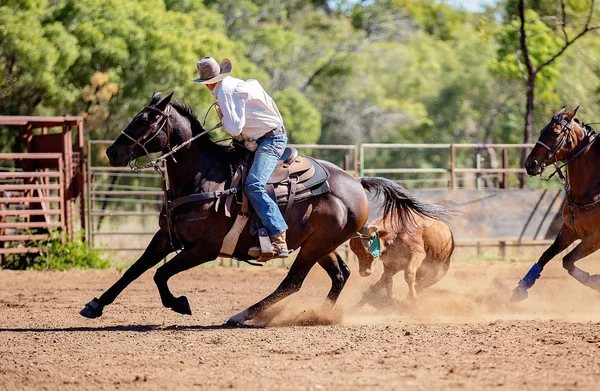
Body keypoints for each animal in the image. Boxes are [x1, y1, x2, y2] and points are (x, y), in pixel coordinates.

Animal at [79, 93, 446, 326]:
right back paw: (316, 316)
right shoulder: (165, 237)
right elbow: (135, 270)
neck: (203, 177)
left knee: (292, 282)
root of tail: (356, 182)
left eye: (146, 119)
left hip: (315, 246)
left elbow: (160, 274)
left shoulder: (204, 248)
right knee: (339, 275)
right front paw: (94, 305)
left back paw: (245, 315)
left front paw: (179, 303)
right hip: (321, 244)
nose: (112, 152)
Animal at [510, 105, 600, 302]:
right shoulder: (569, 230)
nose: (530, 164)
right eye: (542, 130)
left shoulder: (595, 237)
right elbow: (546, 255)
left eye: (555, 133)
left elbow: (567, 260)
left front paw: (595, 281)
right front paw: (521, 288)